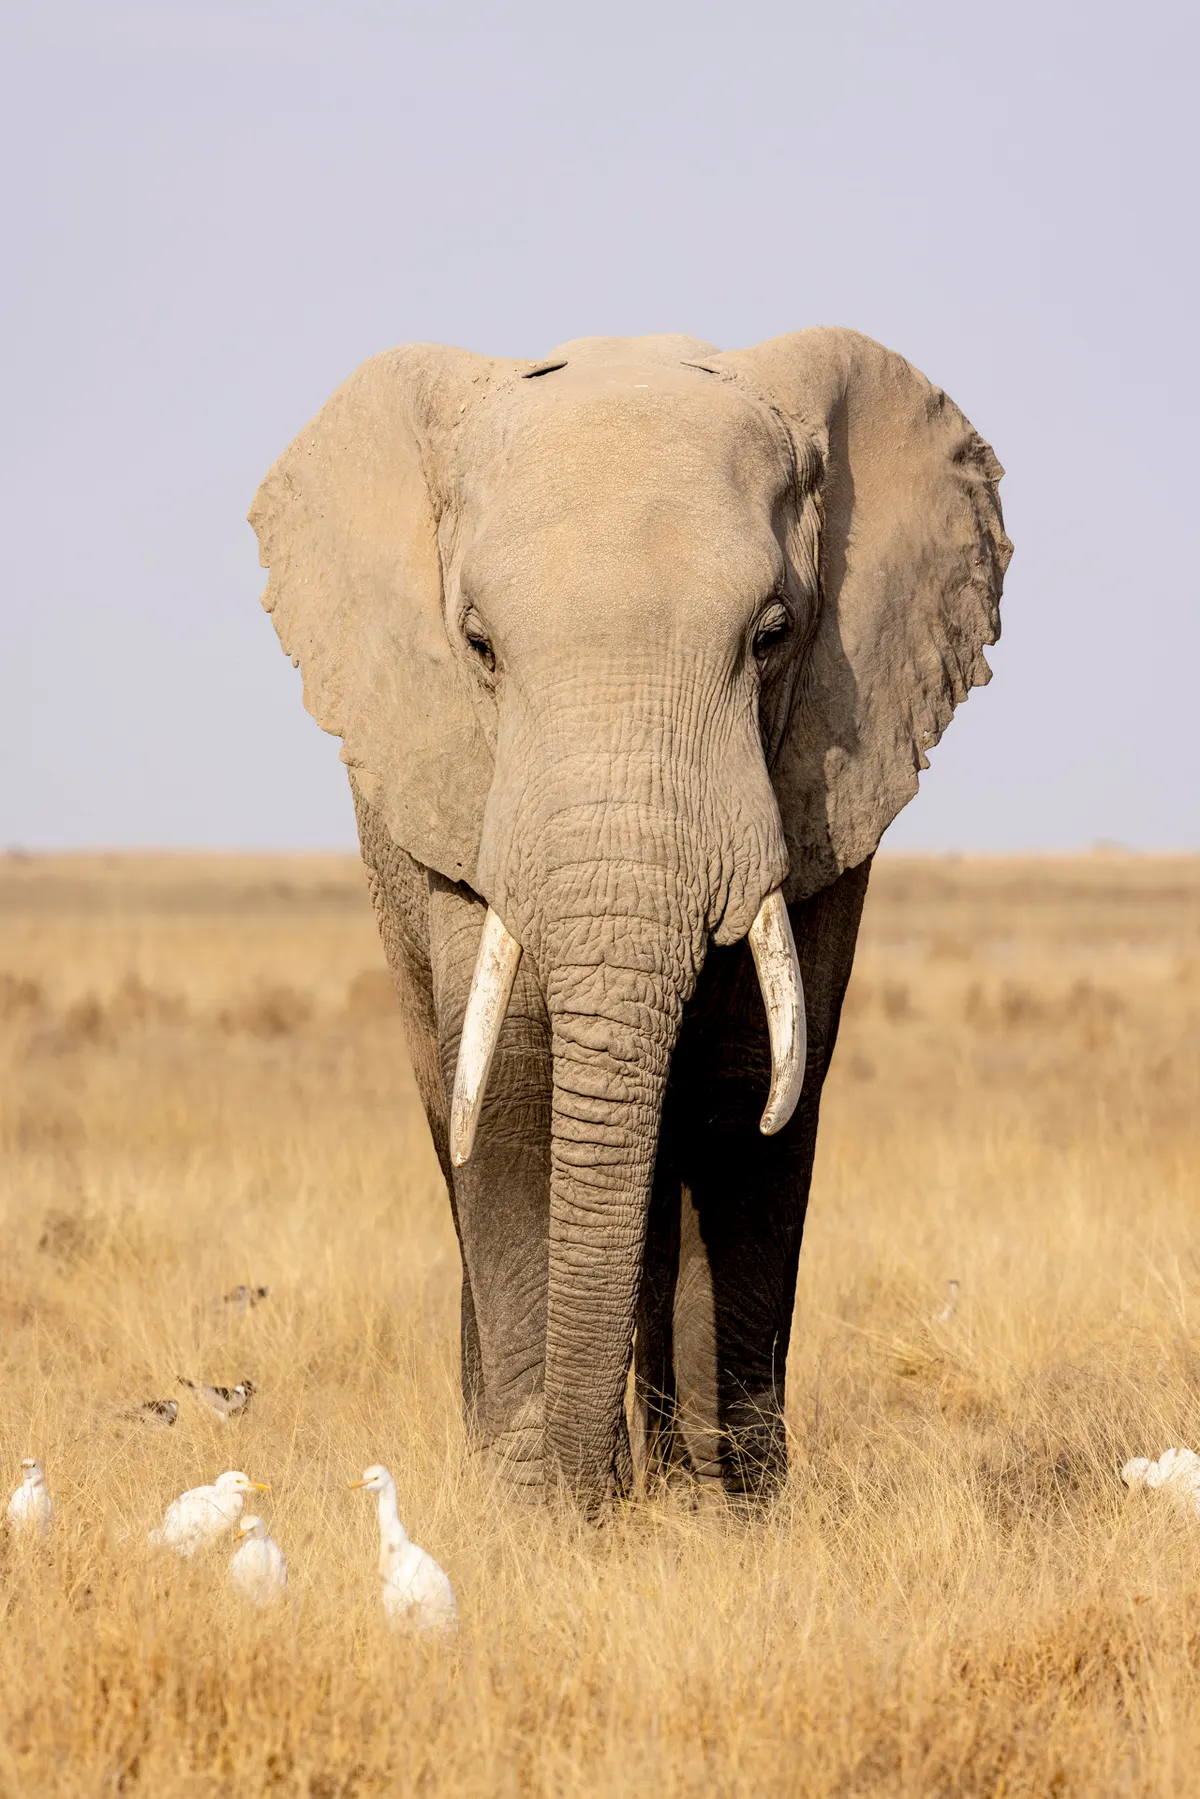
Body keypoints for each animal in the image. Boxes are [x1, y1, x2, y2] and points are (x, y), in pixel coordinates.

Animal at [250, 328, 1010, 1511]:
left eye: (773, 635)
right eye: (479, 645)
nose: (587, 1488)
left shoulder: (823, 778)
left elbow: (751, 1080)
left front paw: (726, 1511)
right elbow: (515, 1072)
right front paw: (535, 1508)